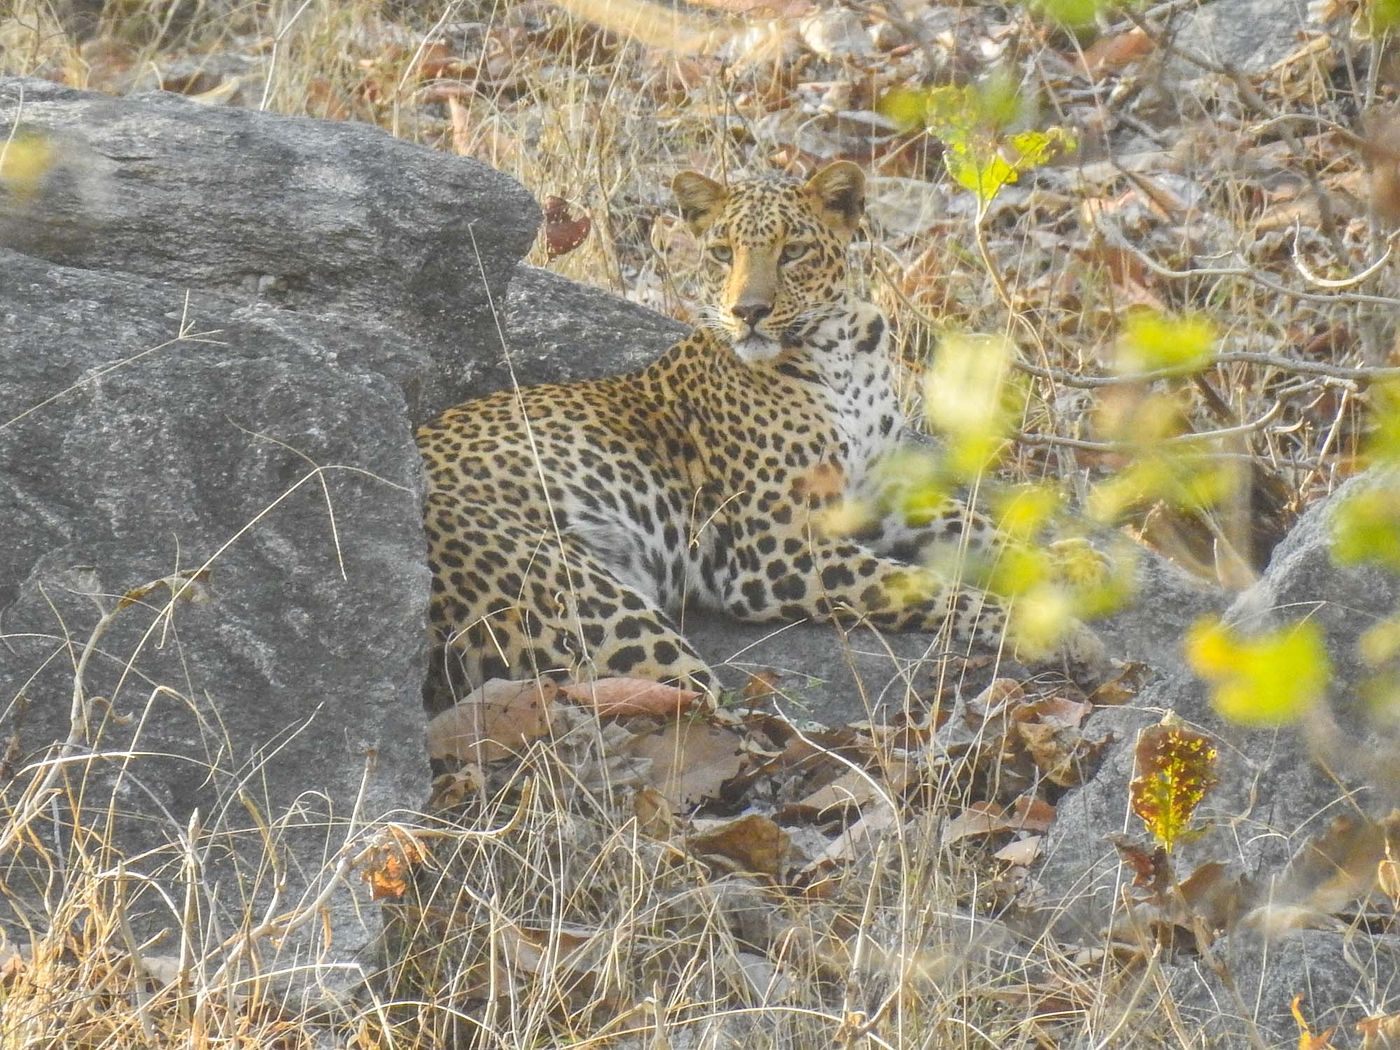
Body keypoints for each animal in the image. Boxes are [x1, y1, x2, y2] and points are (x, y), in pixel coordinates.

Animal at [414, 160, 1103, 711]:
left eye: (793, 251)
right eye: (722, 252)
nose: (748, 311)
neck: (841, 352)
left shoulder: (876, 496)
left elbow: (979, 526)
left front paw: (1070, 560)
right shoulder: (777, 554)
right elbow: (930, 585)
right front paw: (1058, 633)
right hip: (584, 602)